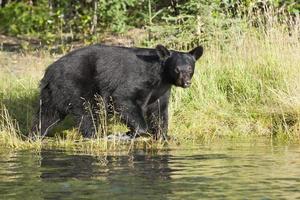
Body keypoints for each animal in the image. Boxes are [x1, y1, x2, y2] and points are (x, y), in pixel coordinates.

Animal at [31, 44, 204, 140]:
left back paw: (35, 134)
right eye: (177, 69)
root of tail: (49, 71)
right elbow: (123, 99)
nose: (186, 82)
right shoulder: (139, 78)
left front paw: (163, 135)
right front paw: (132, 132)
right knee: (88, 112)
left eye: (190, 69)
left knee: (47, 115)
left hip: (54, 93)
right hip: (75, 84)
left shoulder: (161, 90)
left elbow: (159, 111)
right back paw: (96, 136)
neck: (160, 75)